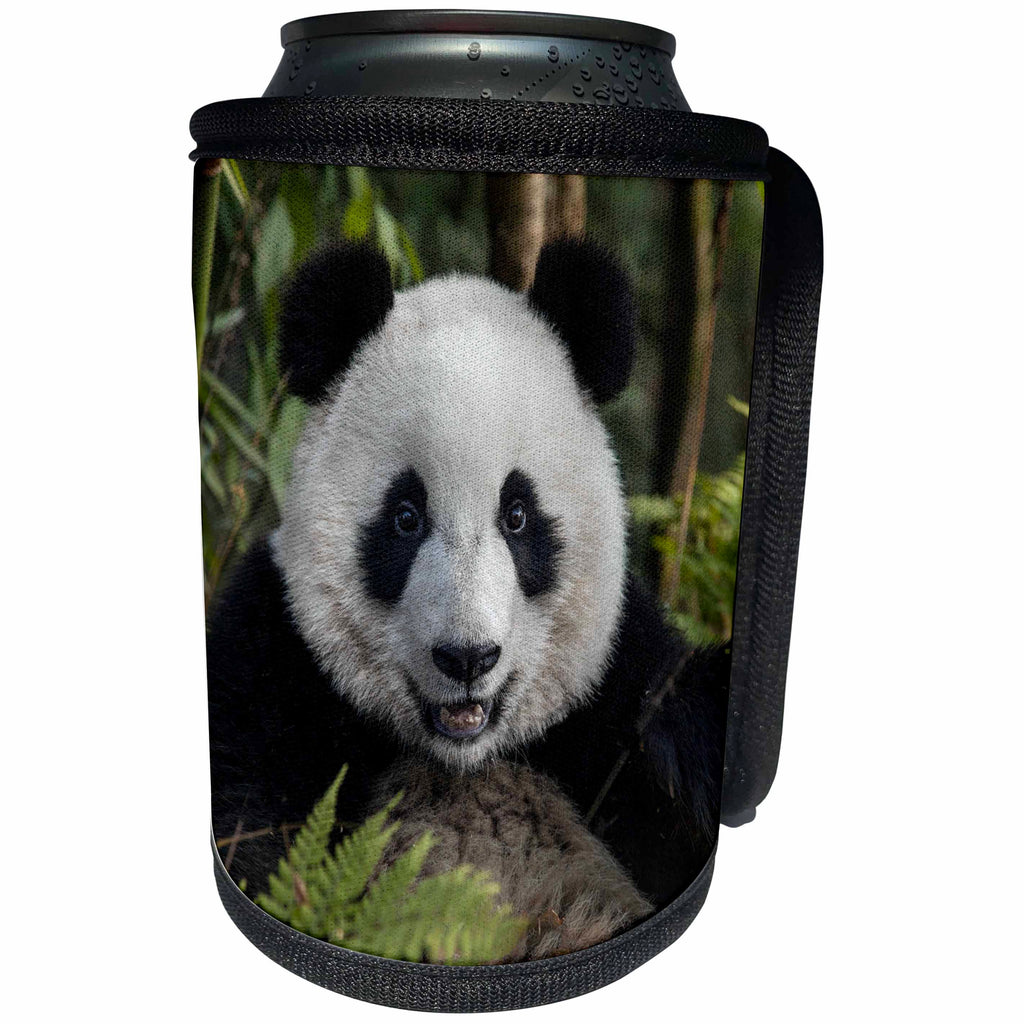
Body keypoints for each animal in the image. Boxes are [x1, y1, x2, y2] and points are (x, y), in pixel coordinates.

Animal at [207, 238, 729, 960]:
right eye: (405, 517)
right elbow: (253, 833)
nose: (466, 658)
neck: (462, 759)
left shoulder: (614, 688)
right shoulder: (275, 664)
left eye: (517, 515)